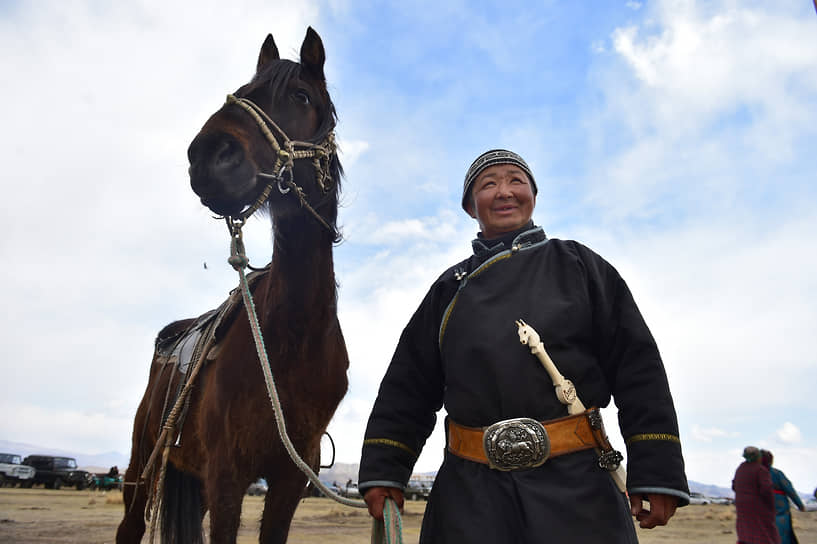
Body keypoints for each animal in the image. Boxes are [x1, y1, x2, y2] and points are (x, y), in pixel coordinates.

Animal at [119, 29, 350, 544]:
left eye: (301, 96)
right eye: (244, 91)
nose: (210, 155)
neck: (293, 337)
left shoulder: (289, 479)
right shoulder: (227, 474)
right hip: (142, 468)